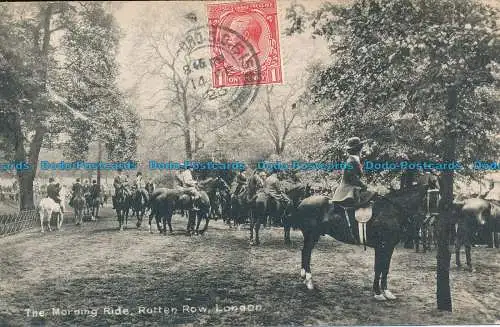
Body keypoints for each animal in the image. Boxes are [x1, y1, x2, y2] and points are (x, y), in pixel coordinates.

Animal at [290, 184, 426, 300]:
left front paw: (387, 292)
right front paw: (378, 293)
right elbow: (379, 268)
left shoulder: (389, 247)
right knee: (306, 253)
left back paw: (304, 278)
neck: (391, 210)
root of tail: (302, 202)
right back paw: (309, 282)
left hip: (311, 237)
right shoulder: (382, 246)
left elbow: (385, 268)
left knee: (305, 253)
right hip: (311, 236)